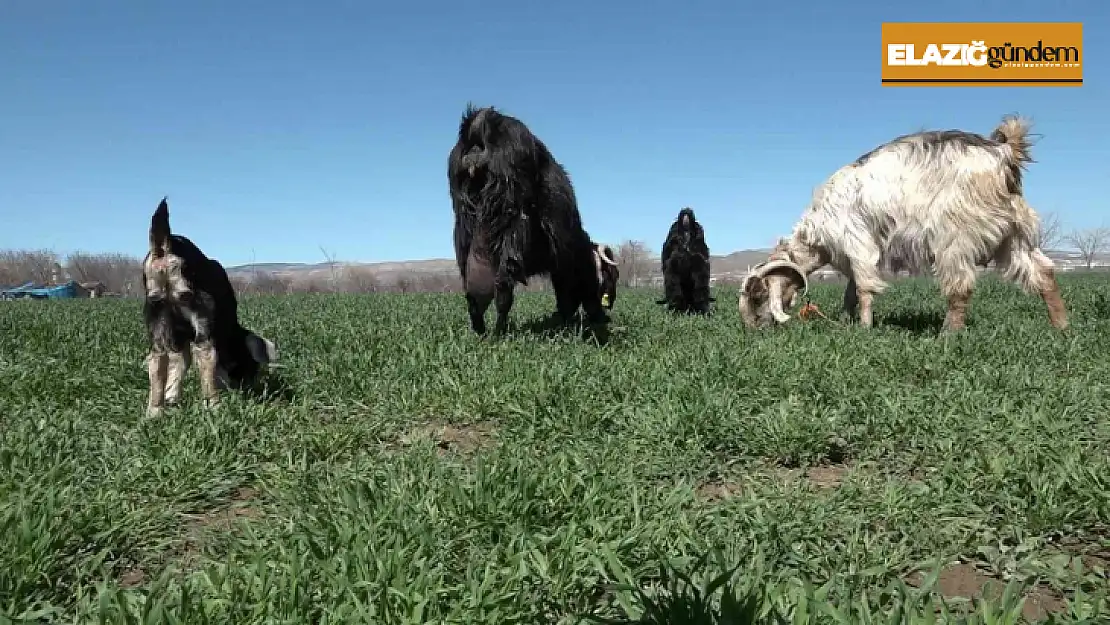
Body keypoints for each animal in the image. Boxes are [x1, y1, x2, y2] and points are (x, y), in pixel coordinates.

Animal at [140, 199, 277, 415]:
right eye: (250, 366)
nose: (247, 385)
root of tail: (164, 248)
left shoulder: (178, 340)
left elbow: (178, 365)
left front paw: (171, 399)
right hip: (199, 308)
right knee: (205, 353)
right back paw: (214, 405)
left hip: (157, 311)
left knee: (157, 358)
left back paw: (154, 412)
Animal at [446, 104, 617, 335]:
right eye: (611, 275)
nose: (606, 312)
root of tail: (483, 121)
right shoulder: (563, 264)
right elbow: (566, 297)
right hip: (512, 226)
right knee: (503, 288)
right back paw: (498, 333)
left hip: (464, 229)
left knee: (472, 295)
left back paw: (481, 332)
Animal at [741, 115, 1070, 335]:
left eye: (757, 295)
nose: (753, 328)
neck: (816, 235)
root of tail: (1003, 153)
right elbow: (851, 291)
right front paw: (847, 321)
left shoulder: (857, 243)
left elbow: (864, 289)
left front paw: (864, 329)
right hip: (1014, 235)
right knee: (1043, 273)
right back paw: (1061, 328)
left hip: (956, 235)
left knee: (960, 287)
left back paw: (947, 337)